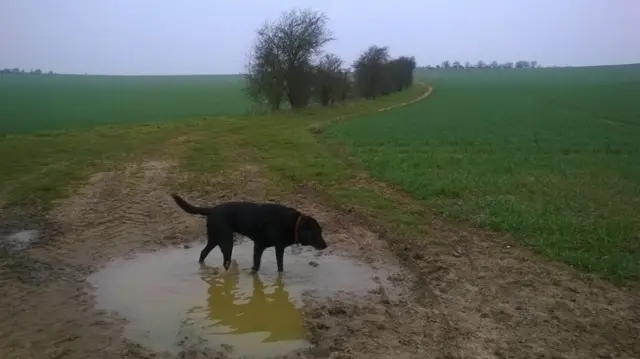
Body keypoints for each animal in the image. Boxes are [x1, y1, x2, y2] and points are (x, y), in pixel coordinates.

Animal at [170, 194, 328, 272]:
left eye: (321, 231)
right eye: (317, 233)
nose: (326, 246)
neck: (294, 224)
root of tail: (212, 209)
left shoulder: (277, 248)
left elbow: (279, 266)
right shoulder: (260, 246)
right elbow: (258, 266)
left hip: (215, 239)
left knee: (203, 253)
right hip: (226, 242)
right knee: (225, 261)